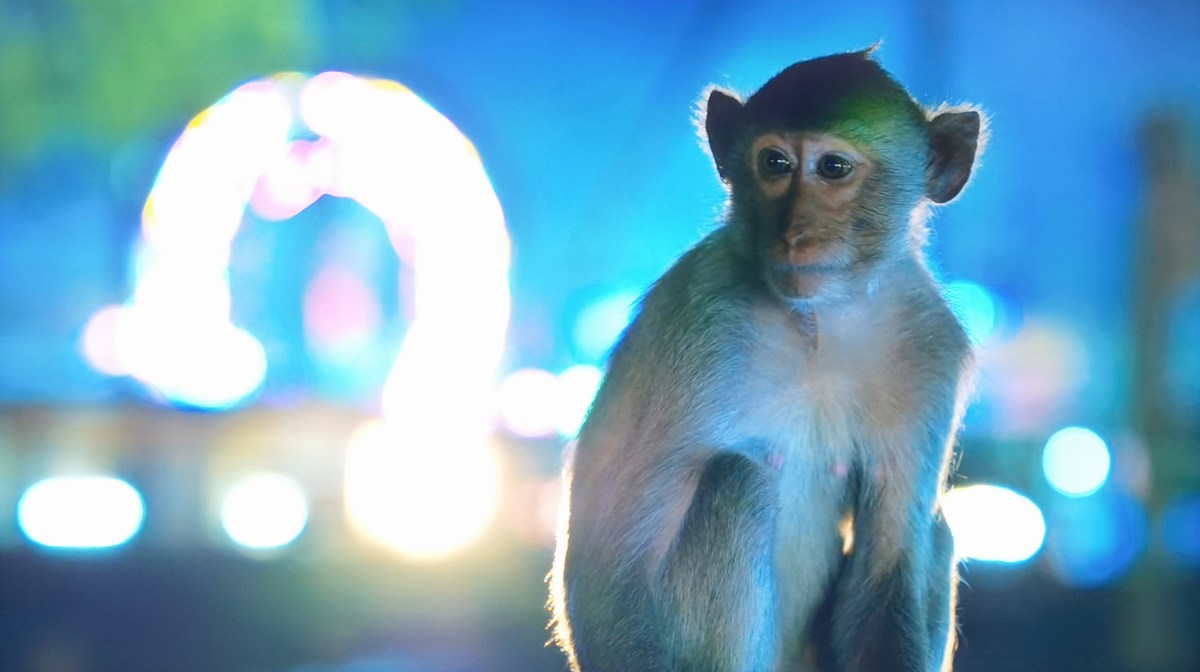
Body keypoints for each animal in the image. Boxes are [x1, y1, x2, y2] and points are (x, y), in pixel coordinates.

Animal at [549, 49, 979, 672]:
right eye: (774, 163)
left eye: (833, 168)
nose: (794, 234)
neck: (820, 321)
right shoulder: (699, 318)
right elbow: (617, 560)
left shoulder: (930, 346)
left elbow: (890, 558)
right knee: (738, 481)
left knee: (933, 530)